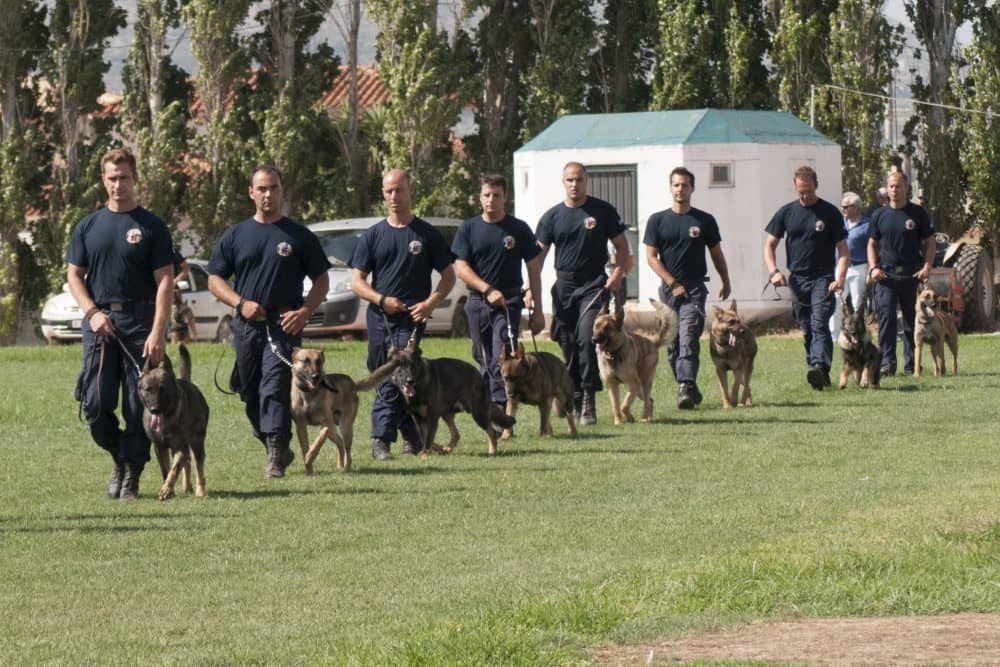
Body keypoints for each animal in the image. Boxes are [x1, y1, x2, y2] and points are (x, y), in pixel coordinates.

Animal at [137, 344, 209, 500]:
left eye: (162, 389)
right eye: (148, 389)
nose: (155, 410)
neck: (167, 419)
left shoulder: (180, 448)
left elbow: (174, 470)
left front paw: (166, 489)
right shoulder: (160, 448)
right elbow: (166, 470)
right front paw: (169, 490)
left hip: (197, 443)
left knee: (198, 467)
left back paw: (200, 491)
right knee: (187, 464)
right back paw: (187, 486)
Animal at [386, 336, 516, 456]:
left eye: (412, 366)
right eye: (400, 367)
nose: (410, 381)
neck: (420, 383)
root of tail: (478, 374)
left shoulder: (432, 417)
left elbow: (428, 438)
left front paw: (425, 455)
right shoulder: (417, 418)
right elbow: (424, 437)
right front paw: (437, 449)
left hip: (478, 413)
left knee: (491, 432)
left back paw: (492, 451)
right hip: (446, 413)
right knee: (456, 434)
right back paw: (447, 449)